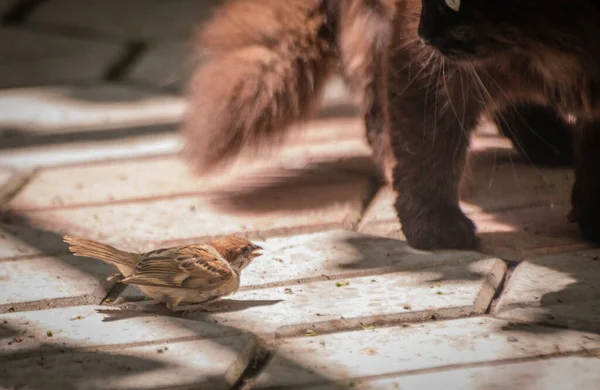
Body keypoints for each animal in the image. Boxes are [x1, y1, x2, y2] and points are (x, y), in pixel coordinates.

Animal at [180, 0, 600, 250]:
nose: (425, 32)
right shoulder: (426, 56)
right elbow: (428, 143)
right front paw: (435, 226)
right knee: (381, 117)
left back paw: (551, 143)